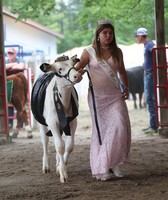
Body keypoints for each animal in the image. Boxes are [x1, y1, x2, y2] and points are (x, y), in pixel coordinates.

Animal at [31, 54, 82, 183]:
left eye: (73, 65)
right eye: (60, 69)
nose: (77, 75)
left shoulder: (73, 122)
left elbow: (69, 146)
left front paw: (60, 167)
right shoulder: (52, 122)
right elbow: (59, 146)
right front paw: (63, 173)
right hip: (42, 123)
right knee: (45, 141)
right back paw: (46, 166)